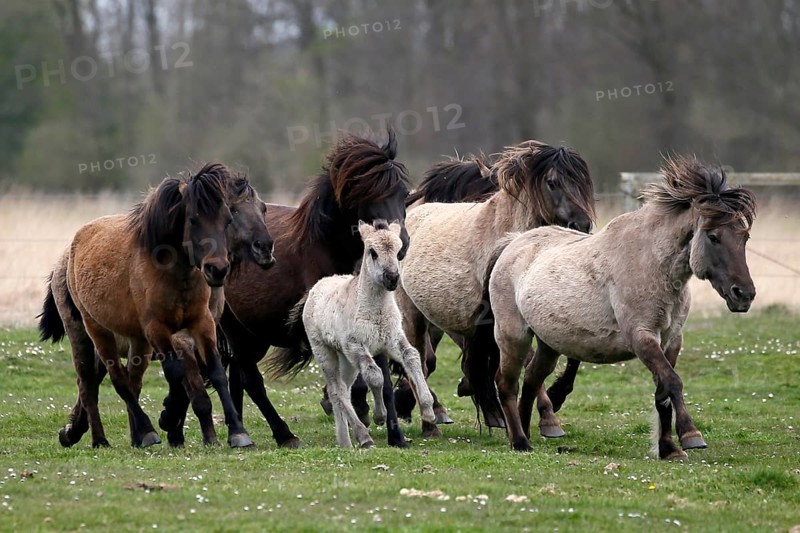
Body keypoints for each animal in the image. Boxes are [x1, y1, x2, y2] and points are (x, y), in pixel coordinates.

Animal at [39, 166, 275, 448]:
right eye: (193, 220)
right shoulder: (161, 330)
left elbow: (215, 373)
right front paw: (173, 421)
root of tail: (69, 252)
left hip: (136, 343)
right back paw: (113, 437)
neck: (176, 274)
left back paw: (116, 434)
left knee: (124, 381)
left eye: (228, 218)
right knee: (103, 382)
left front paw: (236, 432)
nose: (265, 248)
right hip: (91, 332)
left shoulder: (202, 324)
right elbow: (180, 376)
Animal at [158, 128, 412, 448]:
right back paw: (281, 434)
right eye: (368, 194)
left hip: (253, 338)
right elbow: (355, 380)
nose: (402, 244)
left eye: (404, 194)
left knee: (235, 379)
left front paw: (395, 434)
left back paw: (212, 427)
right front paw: (359, 415)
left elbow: (384, 379)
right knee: (250, 381)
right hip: (235, 332)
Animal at [270, 220, 435, 448]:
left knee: (343, 390)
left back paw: (345, 441)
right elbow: (375, 376)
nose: (392, 278)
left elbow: (412, 357)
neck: (377, 310)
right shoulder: (356, 345)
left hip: (346, 360)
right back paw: (363, 436)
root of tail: (315, 288)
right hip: (326, 352)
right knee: (337, 390)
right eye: (372, 252)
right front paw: (380, 416)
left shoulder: (393, 340)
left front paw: (428, 411)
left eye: (399, 250)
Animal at [397, 140, 596, 437]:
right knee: (419, 362)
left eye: (582, 183)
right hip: (414, 316)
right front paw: (546, 417)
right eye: (552, 183)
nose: (582, 225)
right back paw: (429, 423)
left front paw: (550, 405)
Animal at [488, 155, 757, 457]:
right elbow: (673, 382)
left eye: (744, 238)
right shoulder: (642, 337)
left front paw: (669, 449)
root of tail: (512, 243)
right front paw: (691, 435)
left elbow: (662, 393)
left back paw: (526, 432)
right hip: (514, 336)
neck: (652, 263)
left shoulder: (671, 341)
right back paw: (519, 441)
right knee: (507, 384)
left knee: (532, 381)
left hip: (548, 344)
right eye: (713, 237)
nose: (744, 294)